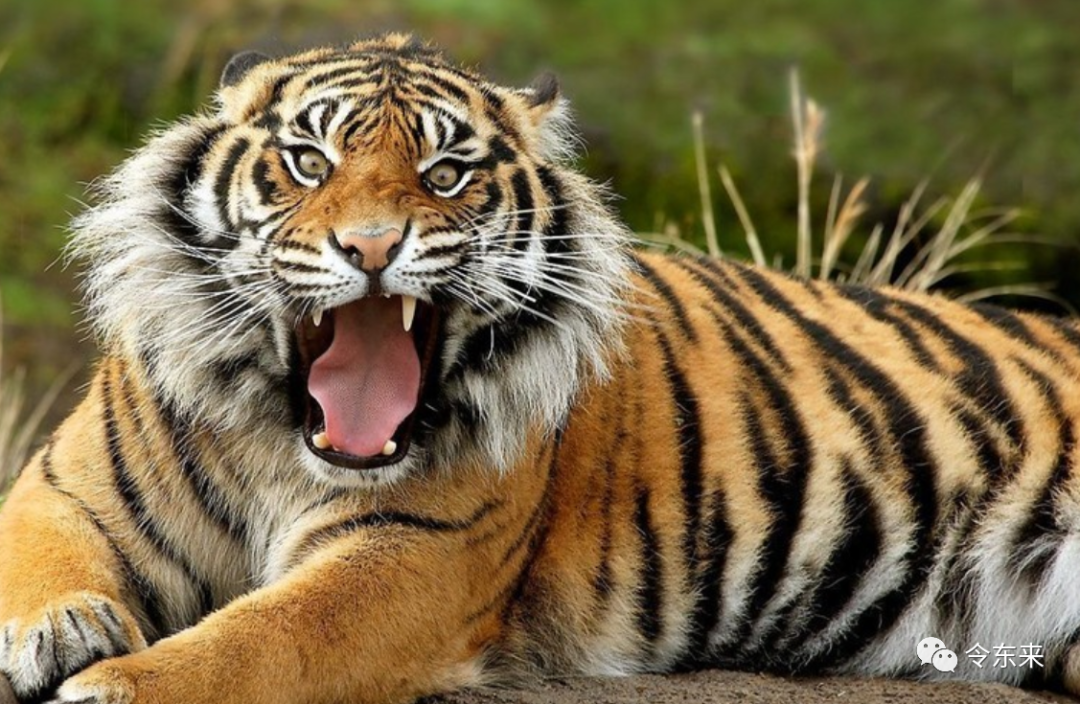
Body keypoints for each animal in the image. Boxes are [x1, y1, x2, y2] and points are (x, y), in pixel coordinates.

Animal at [4, 31, 1080, 704]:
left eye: (445, 175)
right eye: (310, 162)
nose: (371, 246)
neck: (285, 439)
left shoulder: (411, 554)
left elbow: (257, 642)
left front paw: (111, 684)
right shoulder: (64, 486)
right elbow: (38, 553)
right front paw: (56, 630)